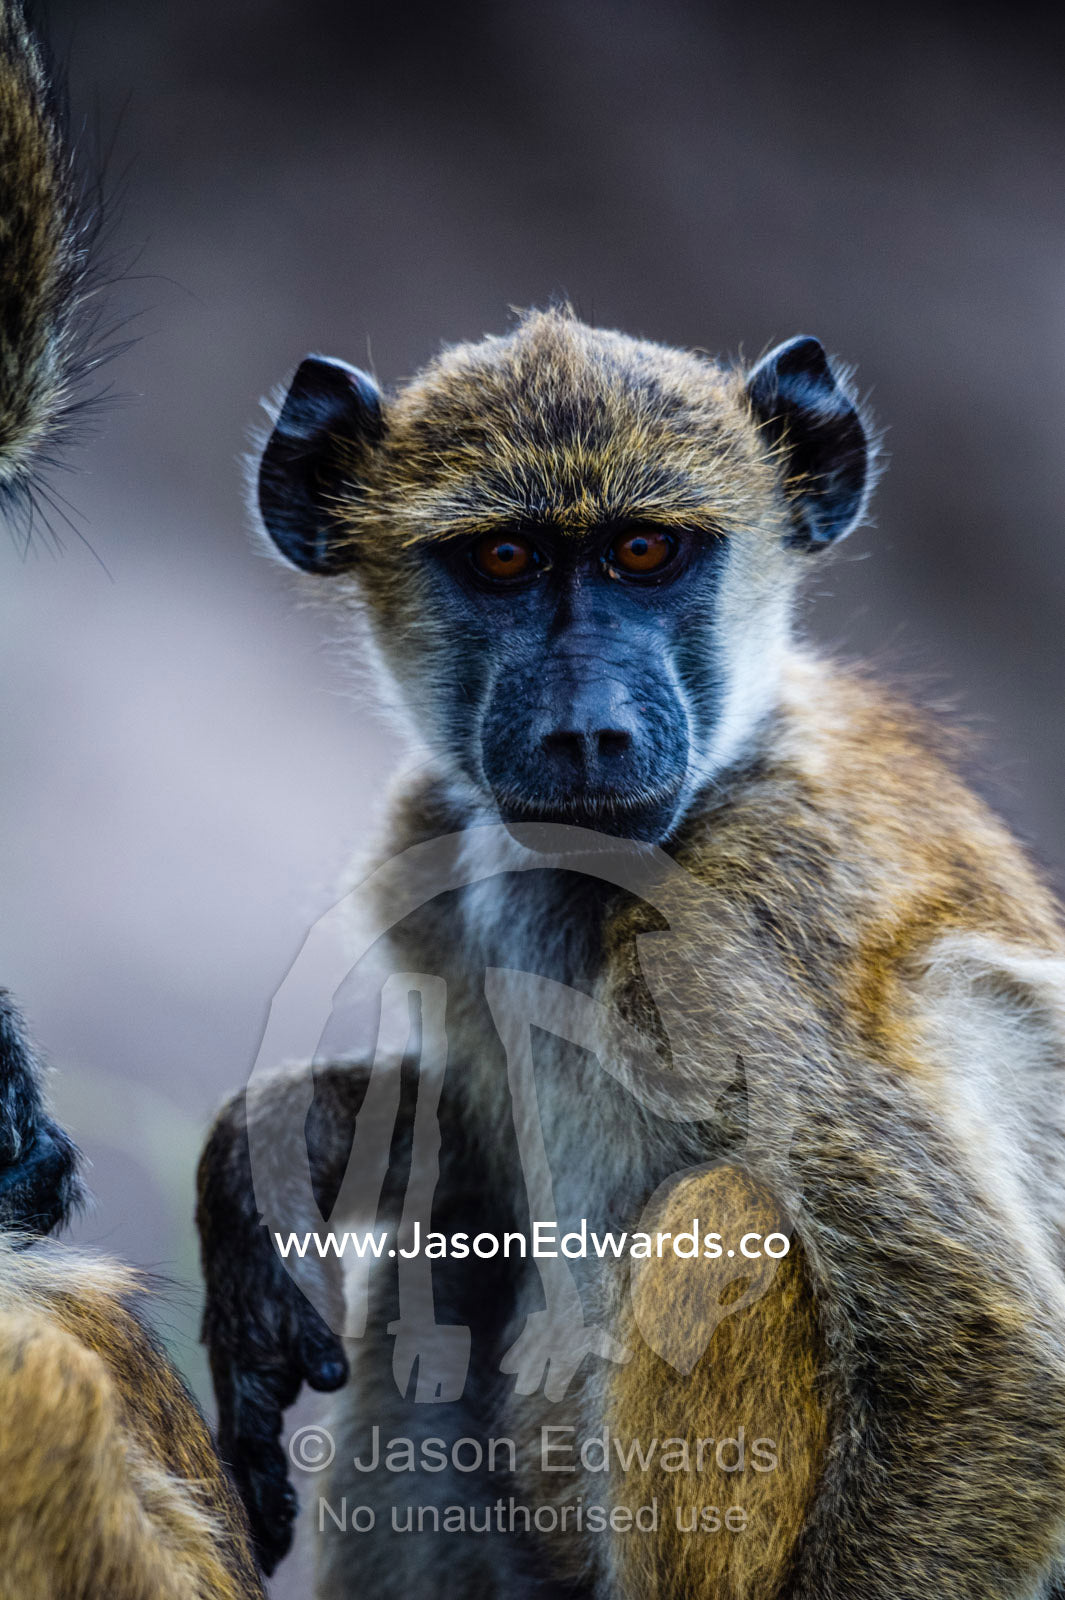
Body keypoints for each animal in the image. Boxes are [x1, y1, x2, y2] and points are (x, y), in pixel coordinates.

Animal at [197, 303, 1065, 1600]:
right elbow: (463, 1144)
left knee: (727, 1218)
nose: (589, 731)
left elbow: (986, 1370)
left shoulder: (743, 934)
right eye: (506, 560)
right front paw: (263, 1163)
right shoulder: (434, 858)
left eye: (647, 552)